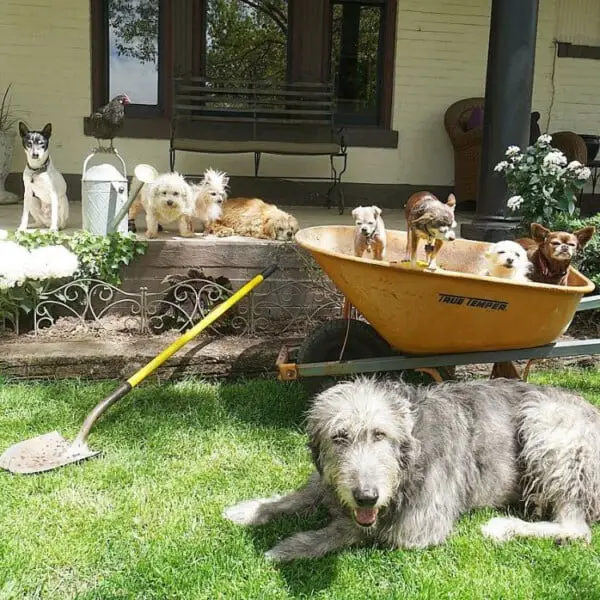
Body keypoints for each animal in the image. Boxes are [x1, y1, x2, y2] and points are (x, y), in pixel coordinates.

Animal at [225, 380, 600, 564]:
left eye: (380, 434)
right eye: (339, 437)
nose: (366, 495)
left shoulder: (418, 526)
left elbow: (357, 529)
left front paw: (292, 546)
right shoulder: (333, 482)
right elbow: (306, 492)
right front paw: (253, 510)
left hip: (548, 427)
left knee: (576, 528)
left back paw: (506, 526)